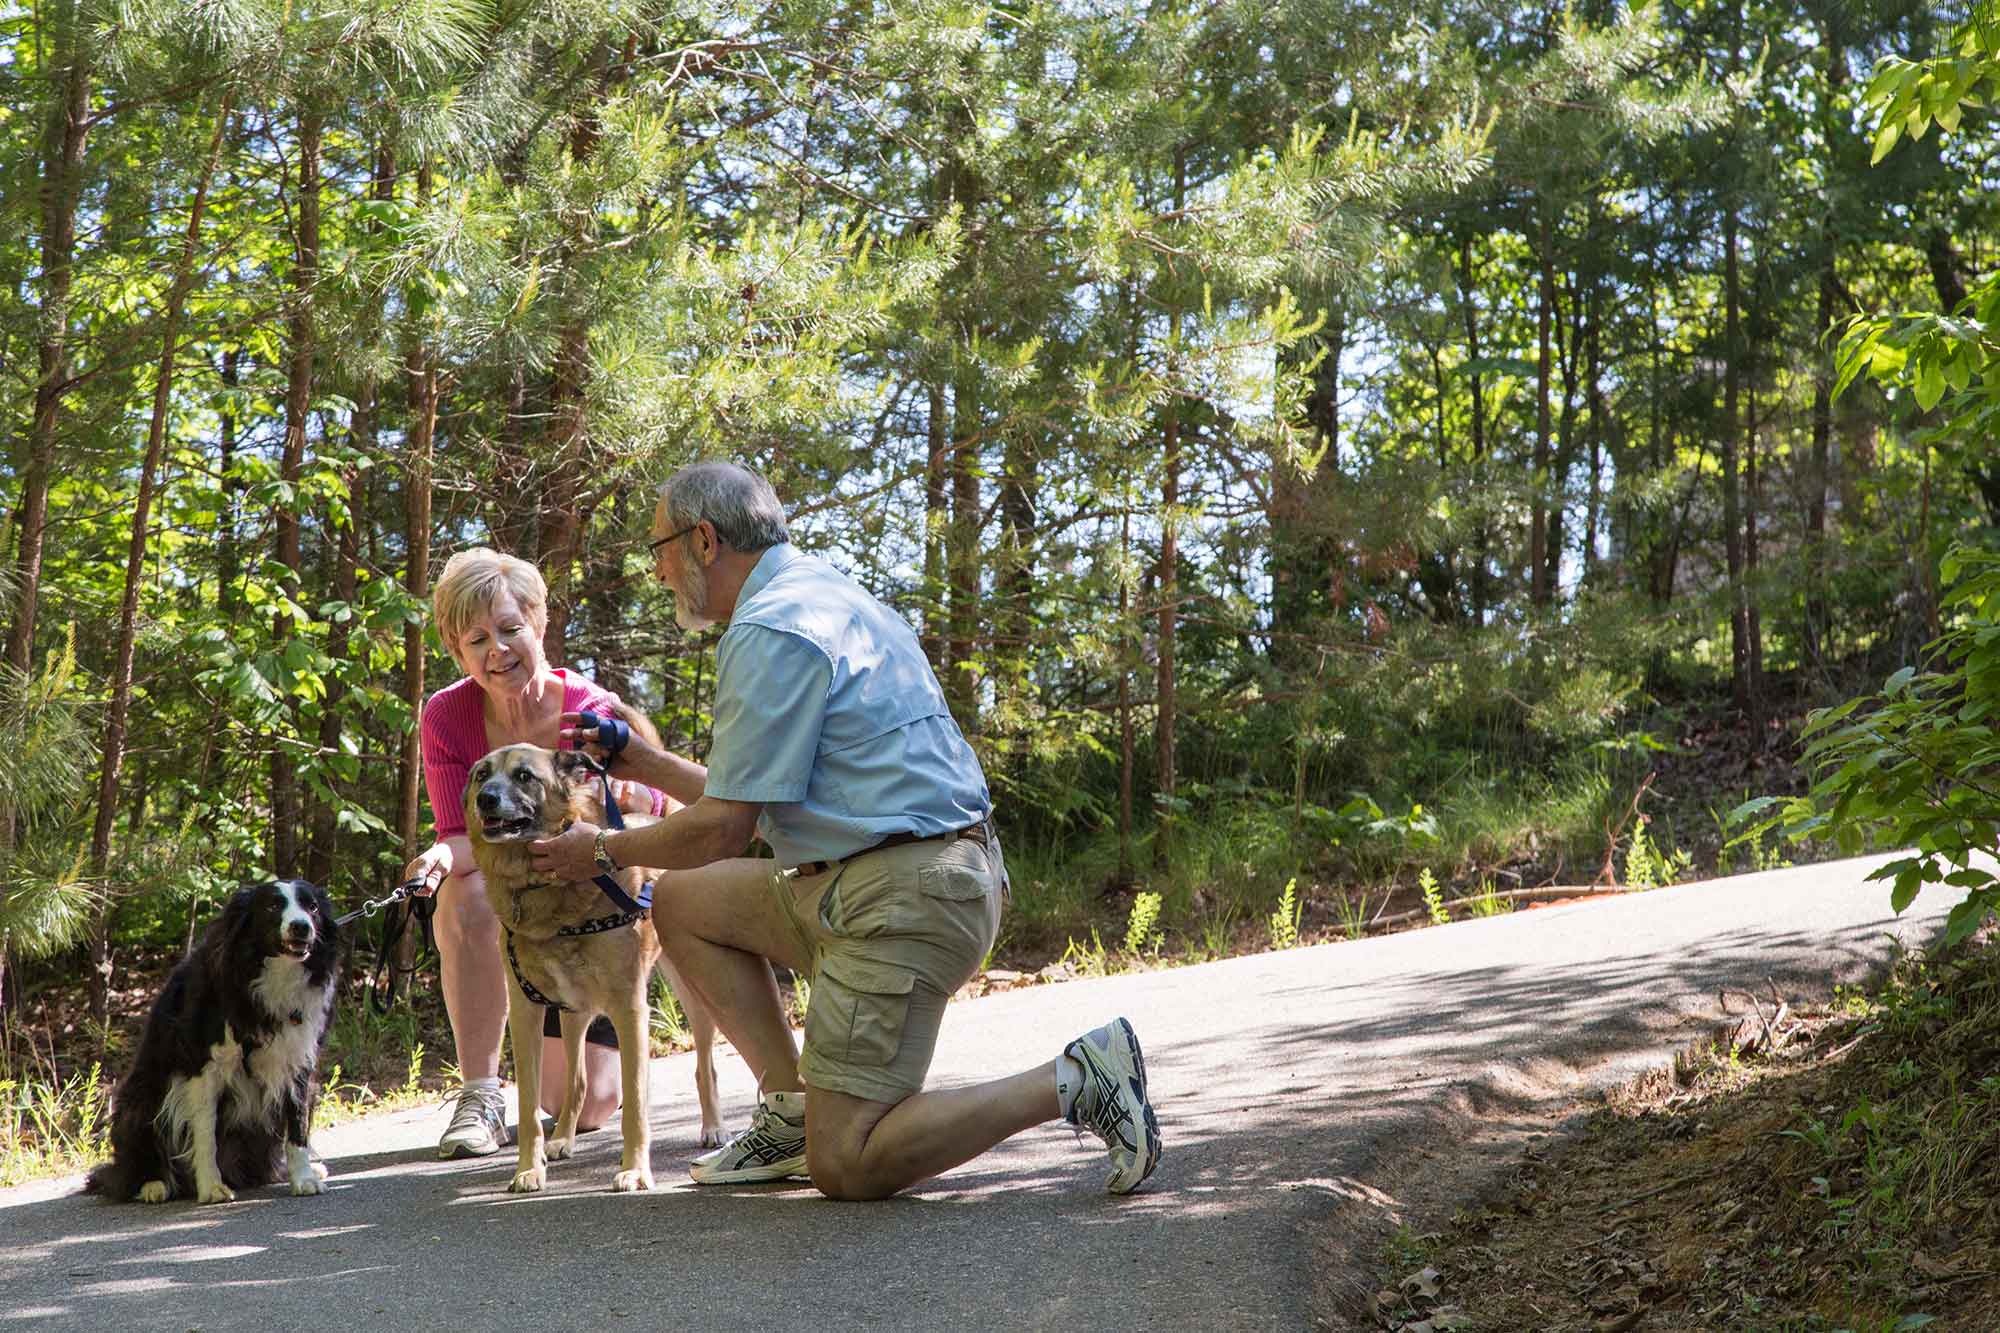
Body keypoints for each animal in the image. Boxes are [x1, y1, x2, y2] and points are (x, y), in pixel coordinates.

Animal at [458, 740, 672, 1184]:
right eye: (482, 775)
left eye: (524, 775)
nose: (486, 798)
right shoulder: (524, 1013)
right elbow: (528, 1106)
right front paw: (528, 1169)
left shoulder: (630, 1010)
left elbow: (636, 1103)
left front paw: (635, 1169)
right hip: (574, 1016)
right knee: (578, 1083)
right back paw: (562, 1140)